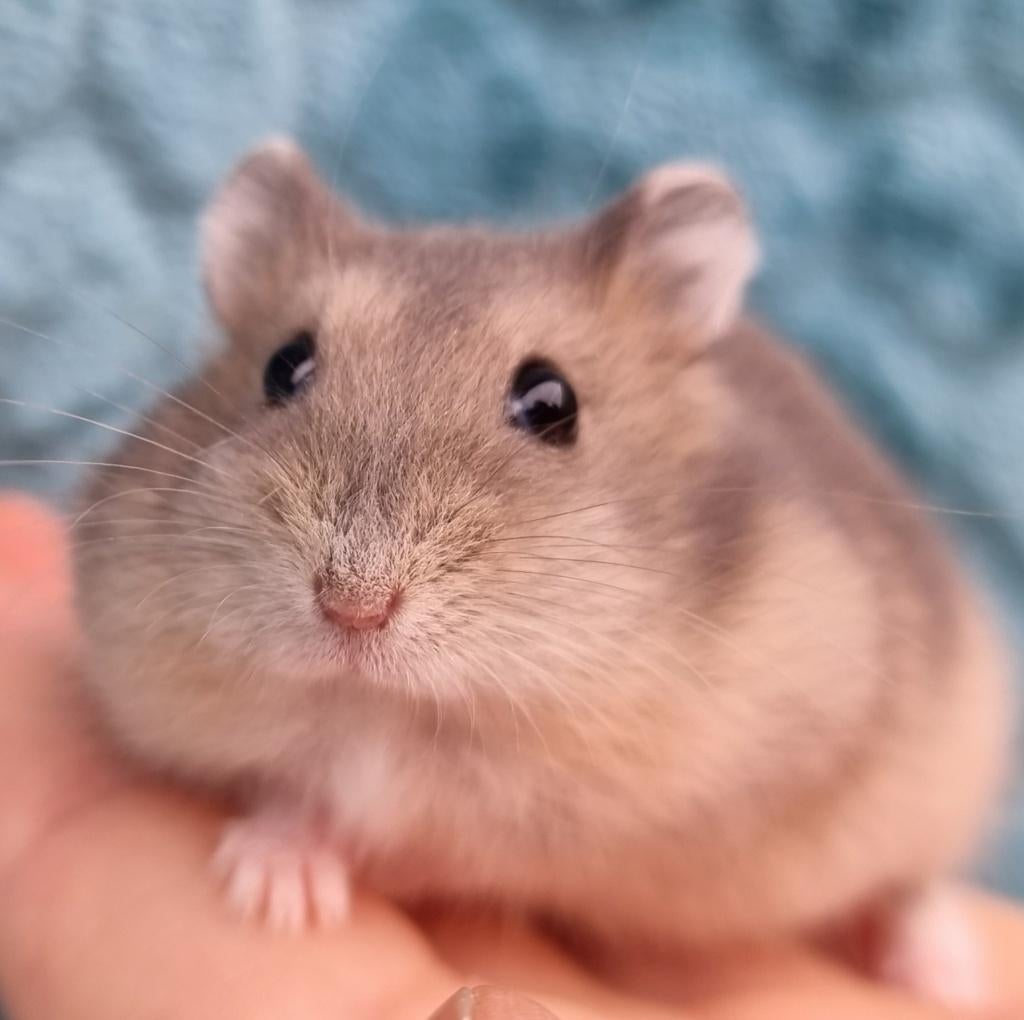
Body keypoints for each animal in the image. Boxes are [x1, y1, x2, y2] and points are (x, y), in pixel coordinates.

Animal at [72, 137, 1011, 1008]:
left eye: (553, 402)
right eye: (283, 366)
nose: (354, 610)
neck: (395, 709)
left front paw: (274, 891)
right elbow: (307, 787)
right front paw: (271, 894)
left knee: (910, 879)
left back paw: (942, 975)